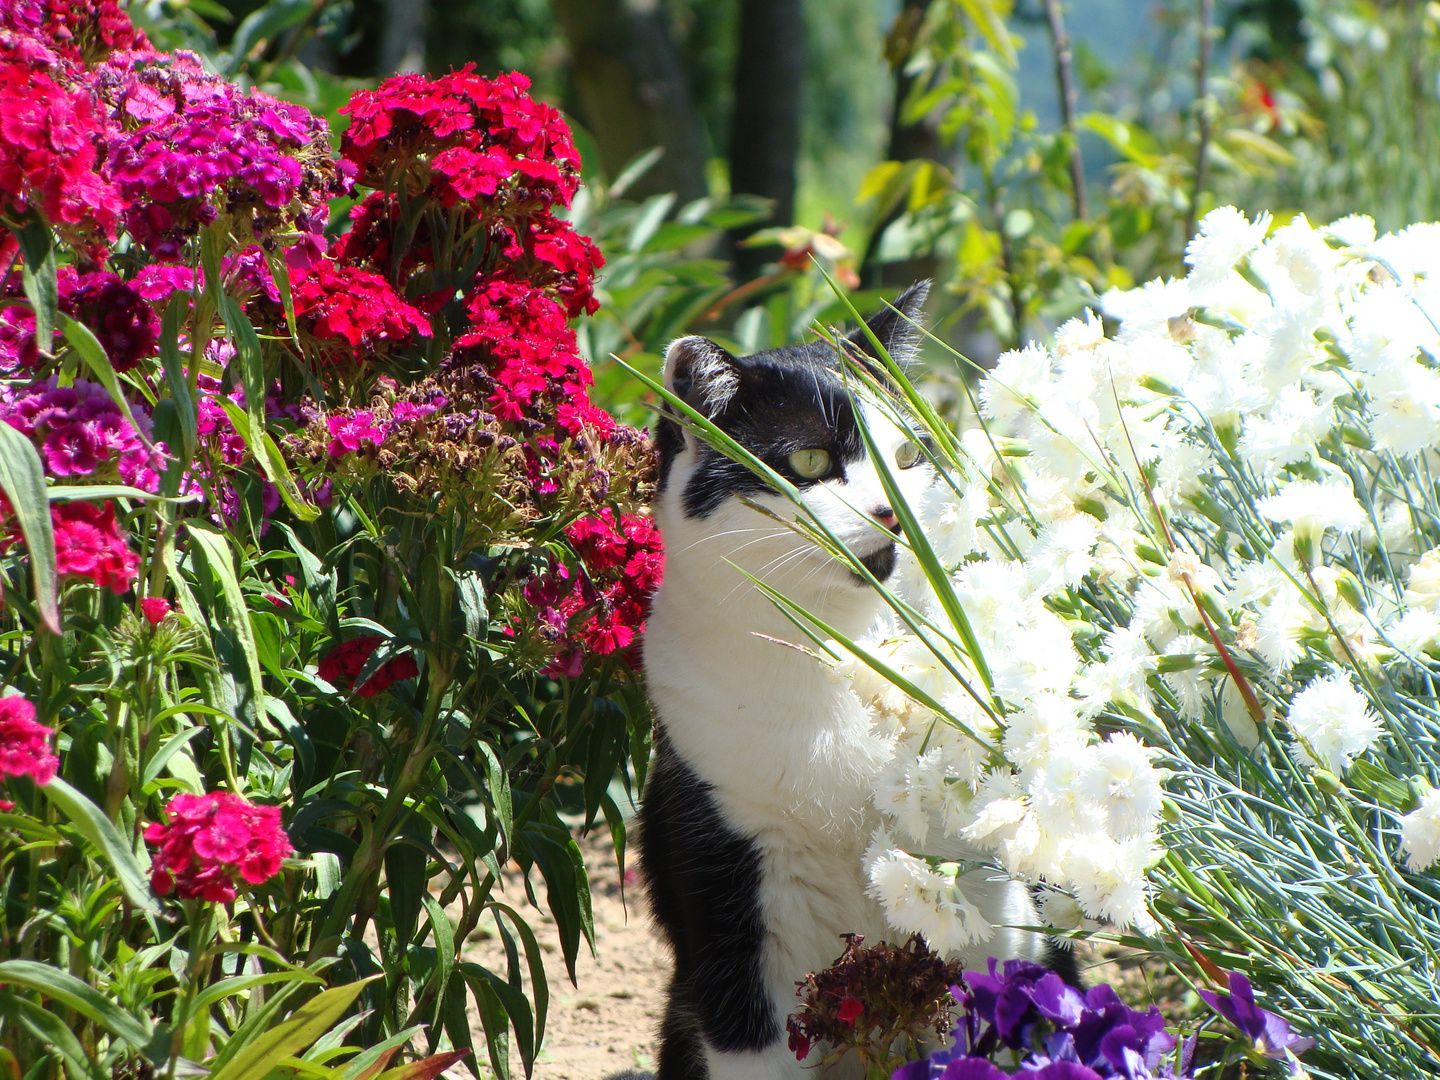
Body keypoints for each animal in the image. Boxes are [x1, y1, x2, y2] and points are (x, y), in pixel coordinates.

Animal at [639, 285, 1071, 1080]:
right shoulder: (730, 897)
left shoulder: (984, 886)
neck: (839, 650)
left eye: (907, 454)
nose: (892, 512)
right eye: (809, 458)